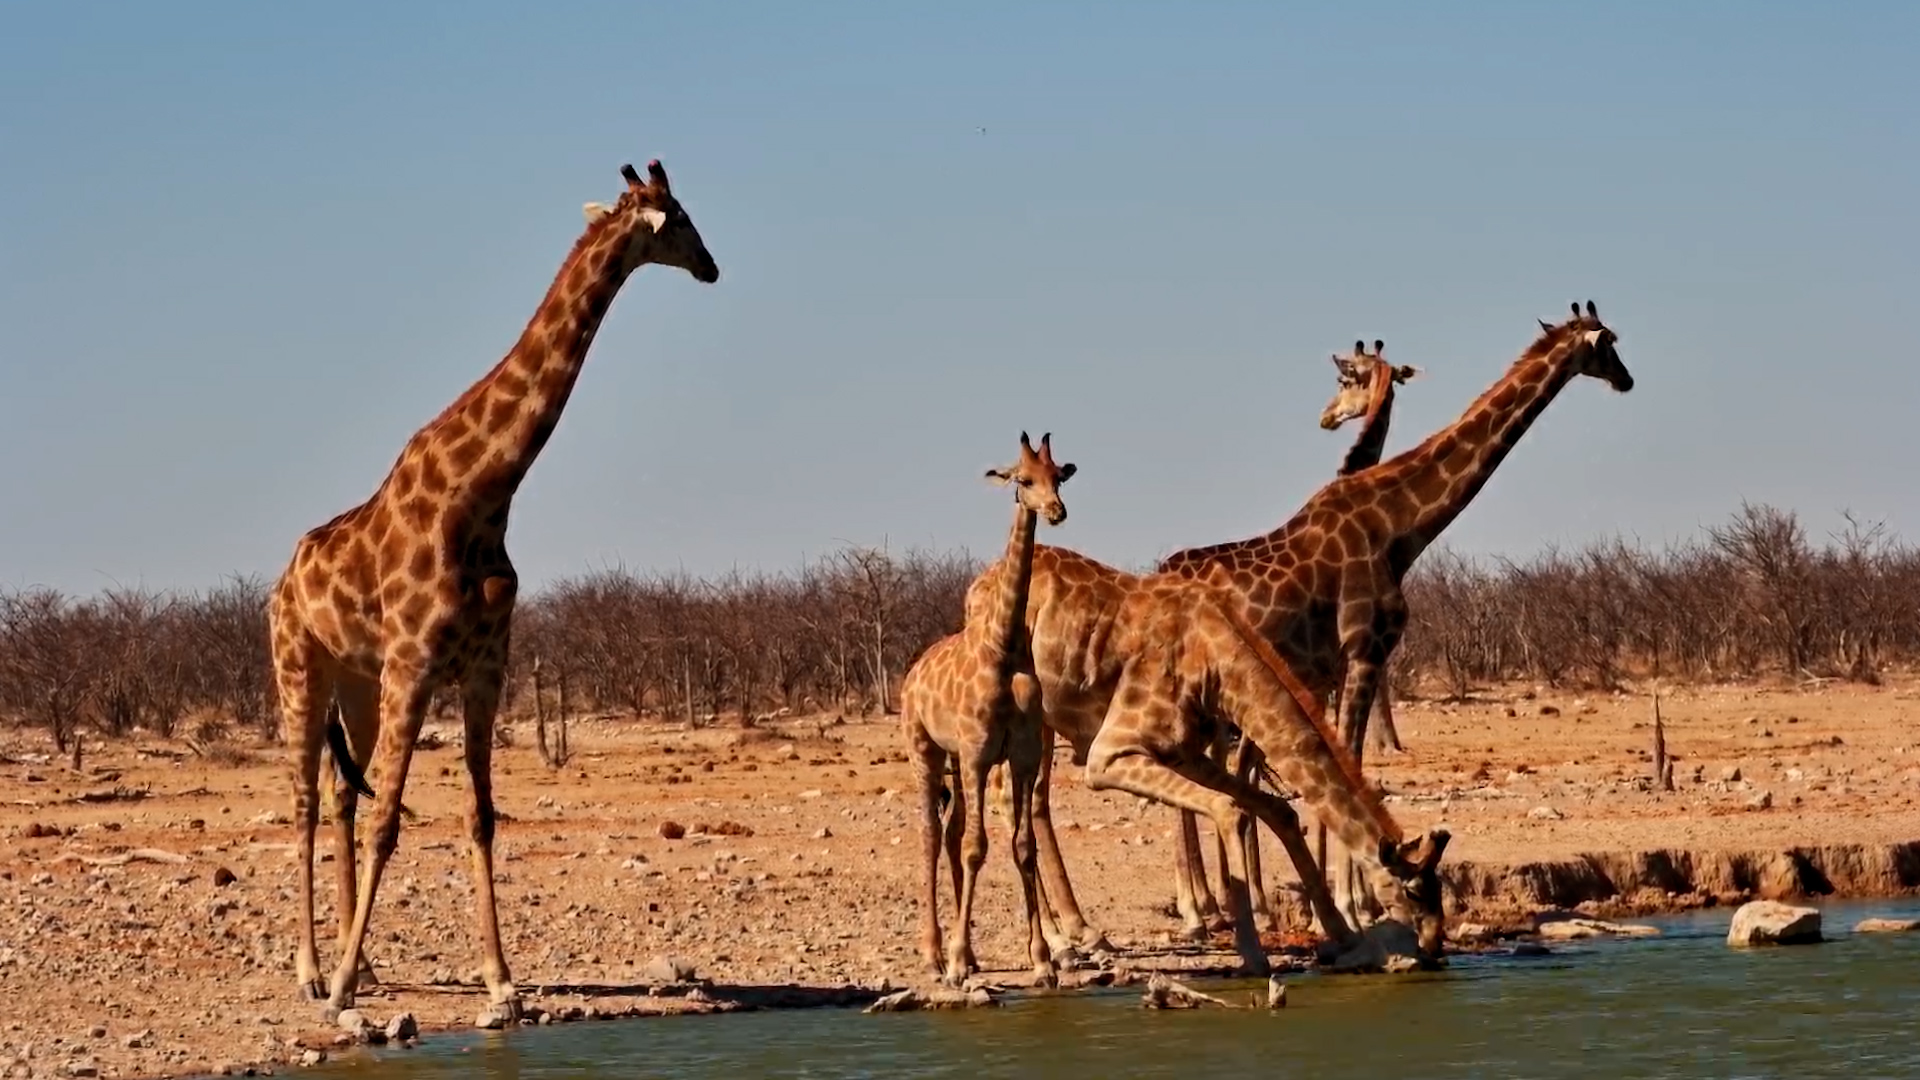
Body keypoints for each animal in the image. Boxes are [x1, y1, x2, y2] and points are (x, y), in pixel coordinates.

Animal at [272, 160, 719, 1023]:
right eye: (680, 218)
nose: (713, 267)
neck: (481, 494)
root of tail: (282, 578)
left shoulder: (485, 666)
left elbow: (478, 816)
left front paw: (501, 982)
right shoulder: (416, 665)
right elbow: (390, 822)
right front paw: (339, 989)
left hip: (359, 682)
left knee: (341, 796)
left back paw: (362, 962)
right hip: (300, 668)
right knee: (309, 798)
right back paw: (314, 971)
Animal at [902, 432, 1074, 987]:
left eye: (1057, 477)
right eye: (1023, 480)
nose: (1057, 511)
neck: (1004, 648)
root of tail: (911, 675)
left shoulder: (1019, 756)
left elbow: (1023, 846)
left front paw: (1042, 961)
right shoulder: (979, 753)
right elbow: (979, 847)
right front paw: (956, 962)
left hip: (954, 760)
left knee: (951, 831)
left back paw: (970, 953)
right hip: (925, 750)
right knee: (932, 835)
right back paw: (936, 955)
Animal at [959, 543, 1453, 975]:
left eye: (1440, 890)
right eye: (1412, 892)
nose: (1434, 948)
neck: (1217, 660)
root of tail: (975, 591)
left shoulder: (1185, 752)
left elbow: (1277, 810)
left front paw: (1342, 936)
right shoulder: (1111, 753)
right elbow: (1230, 809)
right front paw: (1253, 955)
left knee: (1030, 801)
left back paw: (1079, 936)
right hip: (1031, 712)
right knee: (1018, 797)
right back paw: (1062, 944)